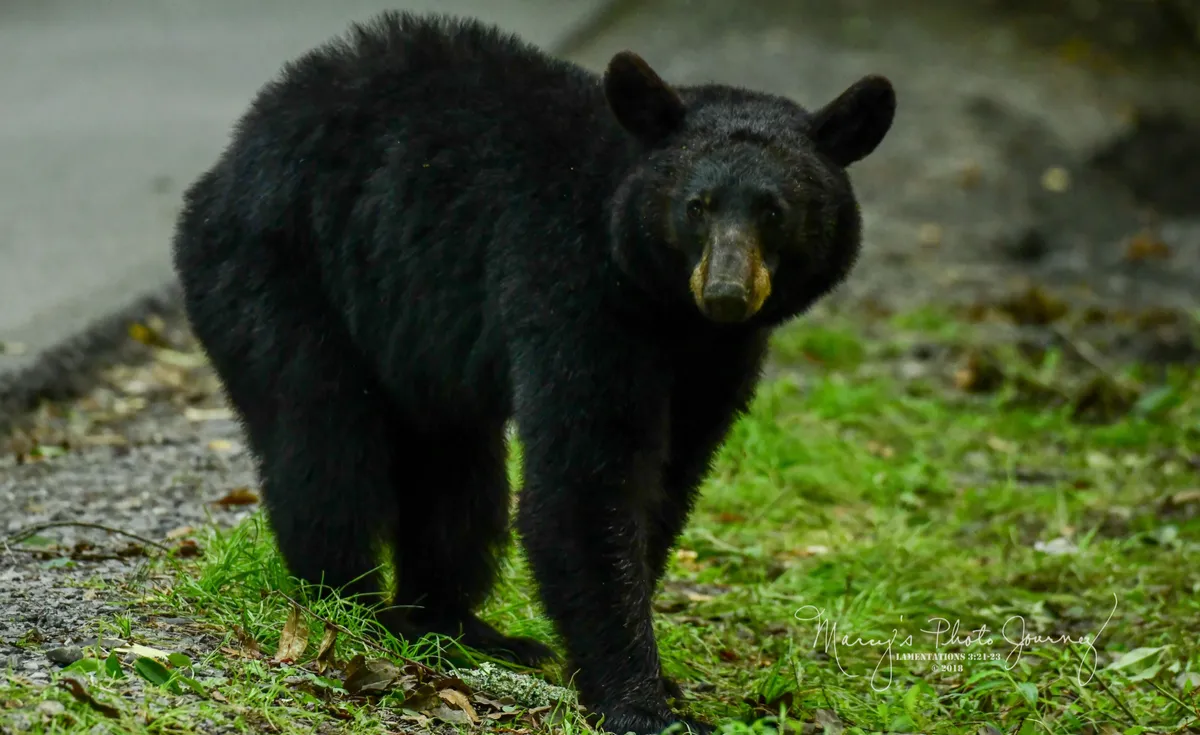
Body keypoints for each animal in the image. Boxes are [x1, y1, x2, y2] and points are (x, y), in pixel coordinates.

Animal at [170, 11, 894, 735]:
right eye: (698, 205)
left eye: (774, 210)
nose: (725, 293)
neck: (664, 308)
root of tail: (224, 167)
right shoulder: (571, 290)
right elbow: (585, 481)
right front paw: (640, 701)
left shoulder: (718, 358)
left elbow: (669, 478)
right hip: (278, 275)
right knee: (324, 447)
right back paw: (350, 605)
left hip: (410, 341)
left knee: (457, 479)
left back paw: (459, 627)